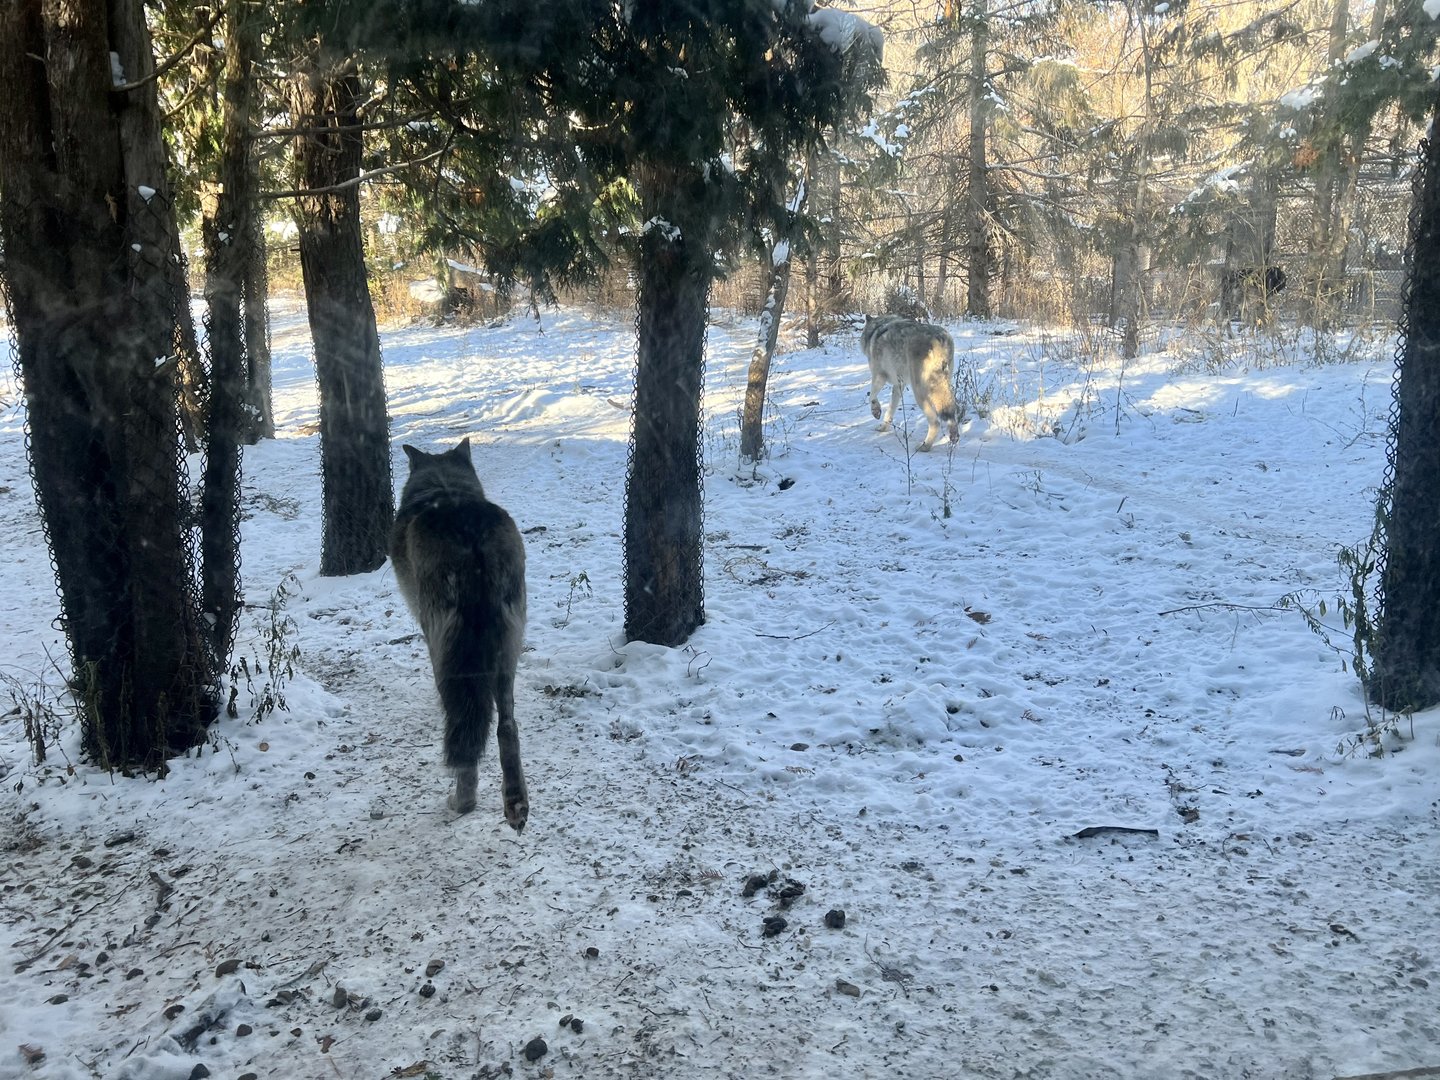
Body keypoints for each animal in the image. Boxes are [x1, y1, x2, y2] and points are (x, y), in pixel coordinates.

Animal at [391, 439, 529, 831]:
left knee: (466, 727)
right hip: (509, 649)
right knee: (506, 727)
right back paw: (517, 805)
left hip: (449, 651)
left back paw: (462, 802)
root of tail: (471, 534)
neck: (443, 486)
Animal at [860, 314, 961, 451]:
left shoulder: (879, 376)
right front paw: (883, 427)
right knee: (951, 415)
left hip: (920, 392)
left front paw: (876, 411)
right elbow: (891, 409)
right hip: (943, 387)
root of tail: (940, 340)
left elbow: (871, 396)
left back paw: (925, 446)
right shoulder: (899, 385)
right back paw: (953, 437)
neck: (876, 330)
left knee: (935, 422)